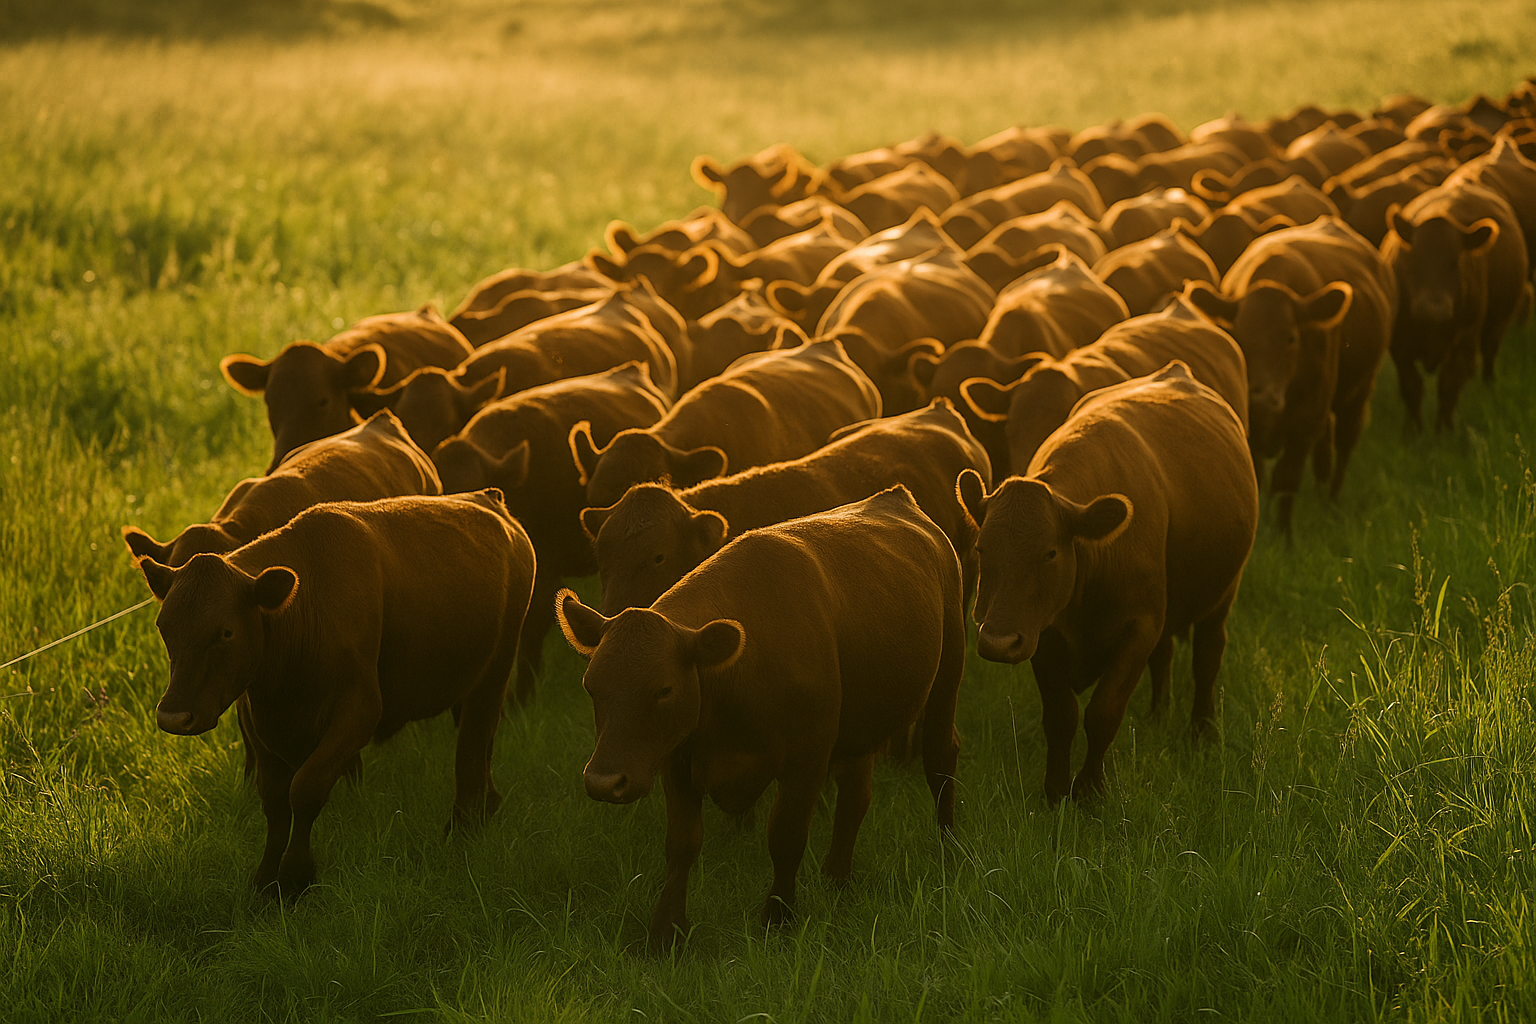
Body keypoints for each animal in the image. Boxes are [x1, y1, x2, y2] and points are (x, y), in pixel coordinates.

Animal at [128, 489, 536, 894]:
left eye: (226, 632)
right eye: (164, 625)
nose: (173, 716)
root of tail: (487, 498)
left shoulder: (359, 711)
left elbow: (305, 788)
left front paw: (295, 875)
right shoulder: (258, 723)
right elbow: (274, 801)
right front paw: (265, 879)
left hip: (496, 669)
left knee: (473, 744)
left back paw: (463, 824)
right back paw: (487, 806)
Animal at [556, 485, 965, 947]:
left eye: (664, 690)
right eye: (592, 686)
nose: (603, 782)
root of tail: (894, 496)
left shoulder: (807, 758)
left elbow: (785, 836)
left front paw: (778, 916)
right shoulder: (676, 758)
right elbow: (682, 843)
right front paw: (666, 929)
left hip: (946, 676)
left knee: (940, 759)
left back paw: (947, 848)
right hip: (860, 723)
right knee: (855, 795)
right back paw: (837, 877)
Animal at [961, 362, 1258, 801]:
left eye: (1050, 553)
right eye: (982, 548)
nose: (997, 641)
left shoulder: (1138, 627)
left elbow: (1103, 713)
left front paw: (1089, 791)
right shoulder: (1043, 633)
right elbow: (1061, 716)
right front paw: (1055, 791)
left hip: (1223, 593)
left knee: (1208, 655)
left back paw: (1201, 731)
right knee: (1166, 654)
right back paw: (1158, 715)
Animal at [1381, 181, 1532, 429]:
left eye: (1456, 260)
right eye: (1413, 257)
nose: (1433, 308)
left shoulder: (1464, 340)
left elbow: (1449, 385)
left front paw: (1443, 430)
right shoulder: (1400, 346)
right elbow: (1412, 388)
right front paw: (1414, 430)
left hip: (1497, 324)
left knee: (1489, 354)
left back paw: (1489, 387)